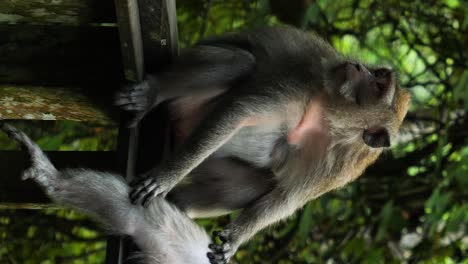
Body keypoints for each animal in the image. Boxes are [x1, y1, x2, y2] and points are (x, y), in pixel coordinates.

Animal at [119, 24, 410, 262]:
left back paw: (179, 204)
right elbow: (237, 113)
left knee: (252, 185)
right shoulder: (298, 86)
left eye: (379, 83)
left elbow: (287, 197)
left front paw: (235, 240)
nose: (359, 67)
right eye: (378, 75)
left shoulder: (336, 168)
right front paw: (165, 177)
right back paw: (154, 92)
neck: (330, 120)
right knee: (240, 62)